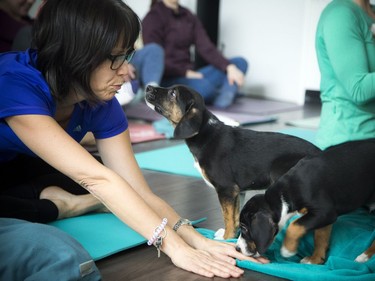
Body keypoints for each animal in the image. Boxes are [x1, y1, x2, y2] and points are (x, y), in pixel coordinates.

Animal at [145, 84, 322, 237]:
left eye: (173, 94)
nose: (148, 87)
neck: (205, 133)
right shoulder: (238, 192)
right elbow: (235, 217)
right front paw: (230, 236)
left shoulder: (226, 189)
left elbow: (228, 218)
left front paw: (225, 238)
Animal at [236, 139, 375, 264]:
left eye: (244, 228)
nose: (237, 248)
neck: (286, 193)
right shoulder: (324, 218)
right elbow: (320, 237)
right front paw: (315, 259)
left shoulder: (324, 212)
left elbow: (294, 225)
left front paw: (287, 250)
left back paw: (364, 256)